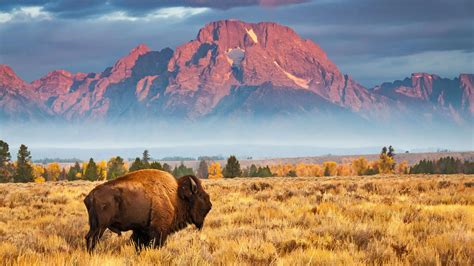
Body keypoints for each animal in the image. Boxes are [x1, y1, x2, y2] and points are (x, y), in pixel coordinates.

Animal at [84, 169, 213, 252]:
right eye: (200, 195)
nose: (210, 205)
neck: (176, 196)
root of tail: (91, 195)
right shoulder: (159, 231)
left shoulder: (141, 230)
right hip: (100, 227)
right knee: (93, 239)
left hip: (94, 225)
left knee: (88, 237)